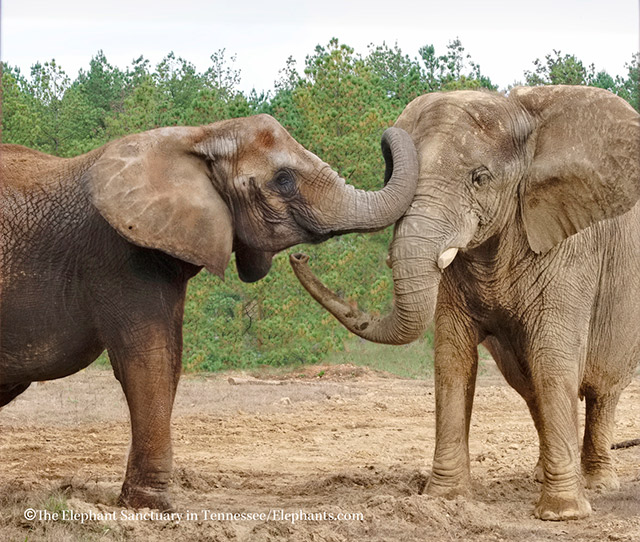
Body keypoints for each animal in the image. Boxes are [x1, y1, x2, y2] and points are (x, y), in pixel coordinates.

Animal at [0, 112, 420, 512]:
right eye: (283, 180)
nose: (300, 258)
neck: (199, 135)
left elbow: (171, 358)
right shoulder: (119, 254)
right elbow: (149, 359)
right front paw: (151, 506)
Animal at [292, 86, 640, 524]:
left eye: (480, 178)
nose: (299, 256)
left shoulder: (571, 247)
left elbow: (553, 358)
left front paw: (561, 514)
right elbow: (453, 357)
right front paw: (443, 499)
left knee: (602, 389)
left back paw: (597, 485)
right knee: (527, 384)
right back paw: (540, 476)